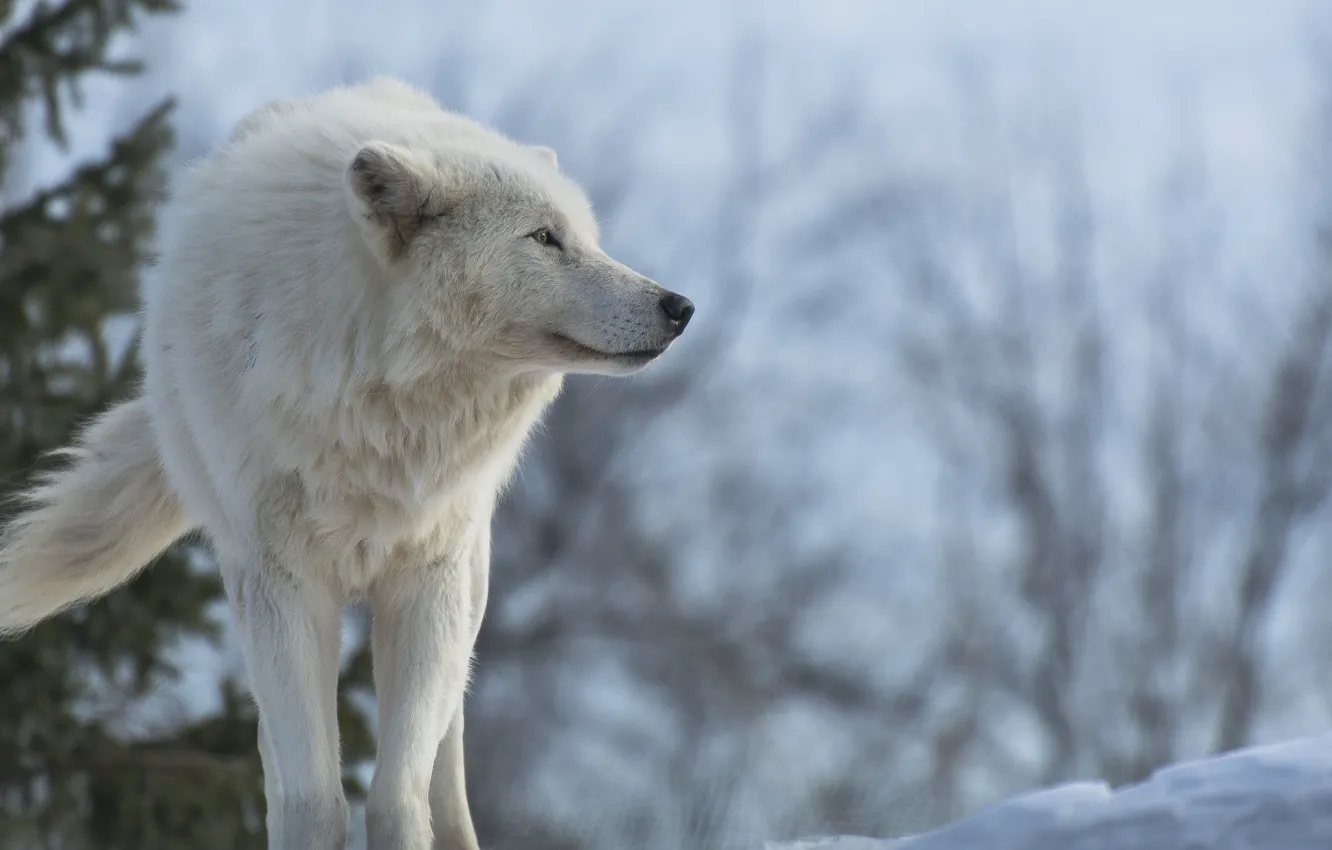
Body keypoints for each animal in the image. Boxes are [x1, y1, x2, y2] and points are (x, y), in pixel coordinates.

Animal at [0, 77, 694, 850]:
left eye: (586, 237)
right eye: (545, 238)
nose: (680, 307)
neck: (378, 403)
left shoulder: (427, 581)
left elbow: (398, 793)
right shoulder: (284, 586)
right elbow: (312, 798)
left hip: (469, 587)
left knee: (447, 747)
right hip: (253, 603)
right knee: (275, 757)